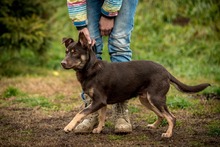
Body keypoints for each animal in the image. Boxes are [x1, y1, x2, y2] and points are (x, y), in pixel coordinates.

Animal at [61, 32, 211, 138]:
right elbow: (101, 116)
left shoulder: (99, 101)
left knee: (171, 117)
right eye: (66, 52)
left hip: (156, 98)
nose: (62, 63)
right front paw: (98, 129)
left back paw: (168, 134)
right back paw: (154, 126)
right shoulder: (100, 102)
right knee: (162, 115)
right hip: (145, 99)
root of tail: (166, 72)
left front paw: (69, 127)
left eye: (75, 52)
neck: (90, 69)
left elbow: (80, 113)